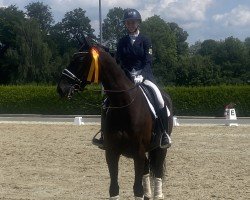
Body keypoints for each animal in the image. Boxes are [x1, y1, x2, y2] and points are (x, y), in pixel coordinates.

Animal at [57, 41, 173, 199]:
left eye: (80, 60)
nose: (61, 88)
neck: (124, 104)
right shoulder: (111, 152)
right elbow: (114, 188)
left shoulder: (138, 152)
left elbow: (137, 189)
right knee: (146, 169)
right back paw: (148, 194)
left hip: (160, 148)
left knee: (158, 169)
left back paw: (158, 195)